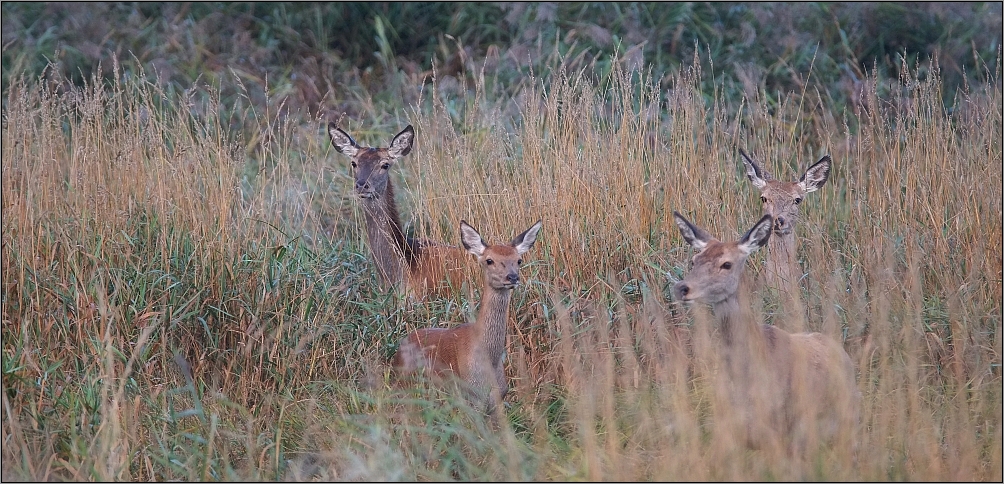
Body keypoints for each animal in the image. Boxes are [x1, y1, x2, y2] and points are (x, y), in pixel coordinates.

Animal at [389, 217, 542, 423]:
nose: (512, 277)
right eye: (489, 260)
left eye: (519, 260)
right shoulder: (470, 397)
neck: (489, 360)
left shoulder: (497, 400)